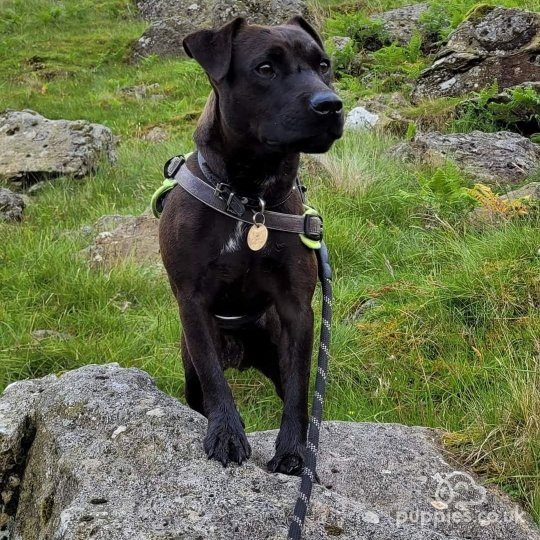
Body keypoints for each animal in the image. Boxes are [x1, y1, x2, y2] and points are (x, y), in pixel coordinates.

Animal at [159, 15, 342, 472]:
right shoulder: (192, 303)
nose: (330, 104)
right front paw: (226, 433)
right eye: (265, 68)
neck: (249, 199)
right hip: (191, 370)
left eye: (324, 65)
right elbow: (214, 380)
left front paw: (293, 449)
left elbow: (299, 391)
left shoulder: (297, 310)